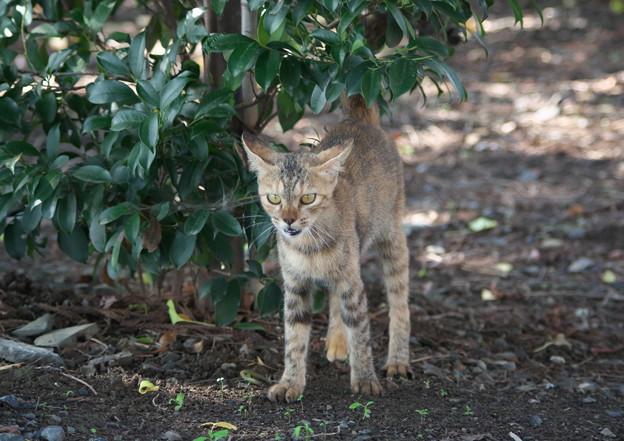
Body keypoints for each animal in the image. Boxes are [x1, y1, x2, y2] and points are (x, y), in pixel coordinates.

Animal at [244, 94, 414, 400]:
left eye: (308, 198)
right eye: (274, 198)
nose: (288, 220)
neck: (308, 245)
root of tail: (359, 120)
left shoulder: (352, 284)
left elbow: (360, 332)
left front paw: (365, 379)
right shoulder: (295, 284)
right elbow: (294, 338)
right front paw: (290, 382)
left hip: (391, 237)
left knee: (399, 303)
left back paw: (397, 360)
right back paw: (336, 341)